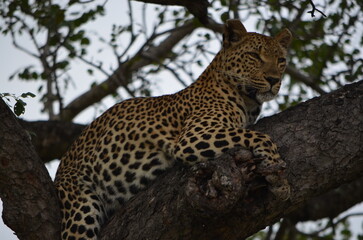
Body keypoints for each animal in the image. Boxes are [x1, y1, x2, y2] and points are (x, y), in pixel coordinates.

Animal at [54, 19, 292, 239]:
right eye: (254, 56)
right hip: (80, 204)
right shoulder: (194, 136)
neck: (248, 102)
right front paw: (278, 176)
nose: (273, 80)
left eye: (281, 61)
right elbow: (261, 136)